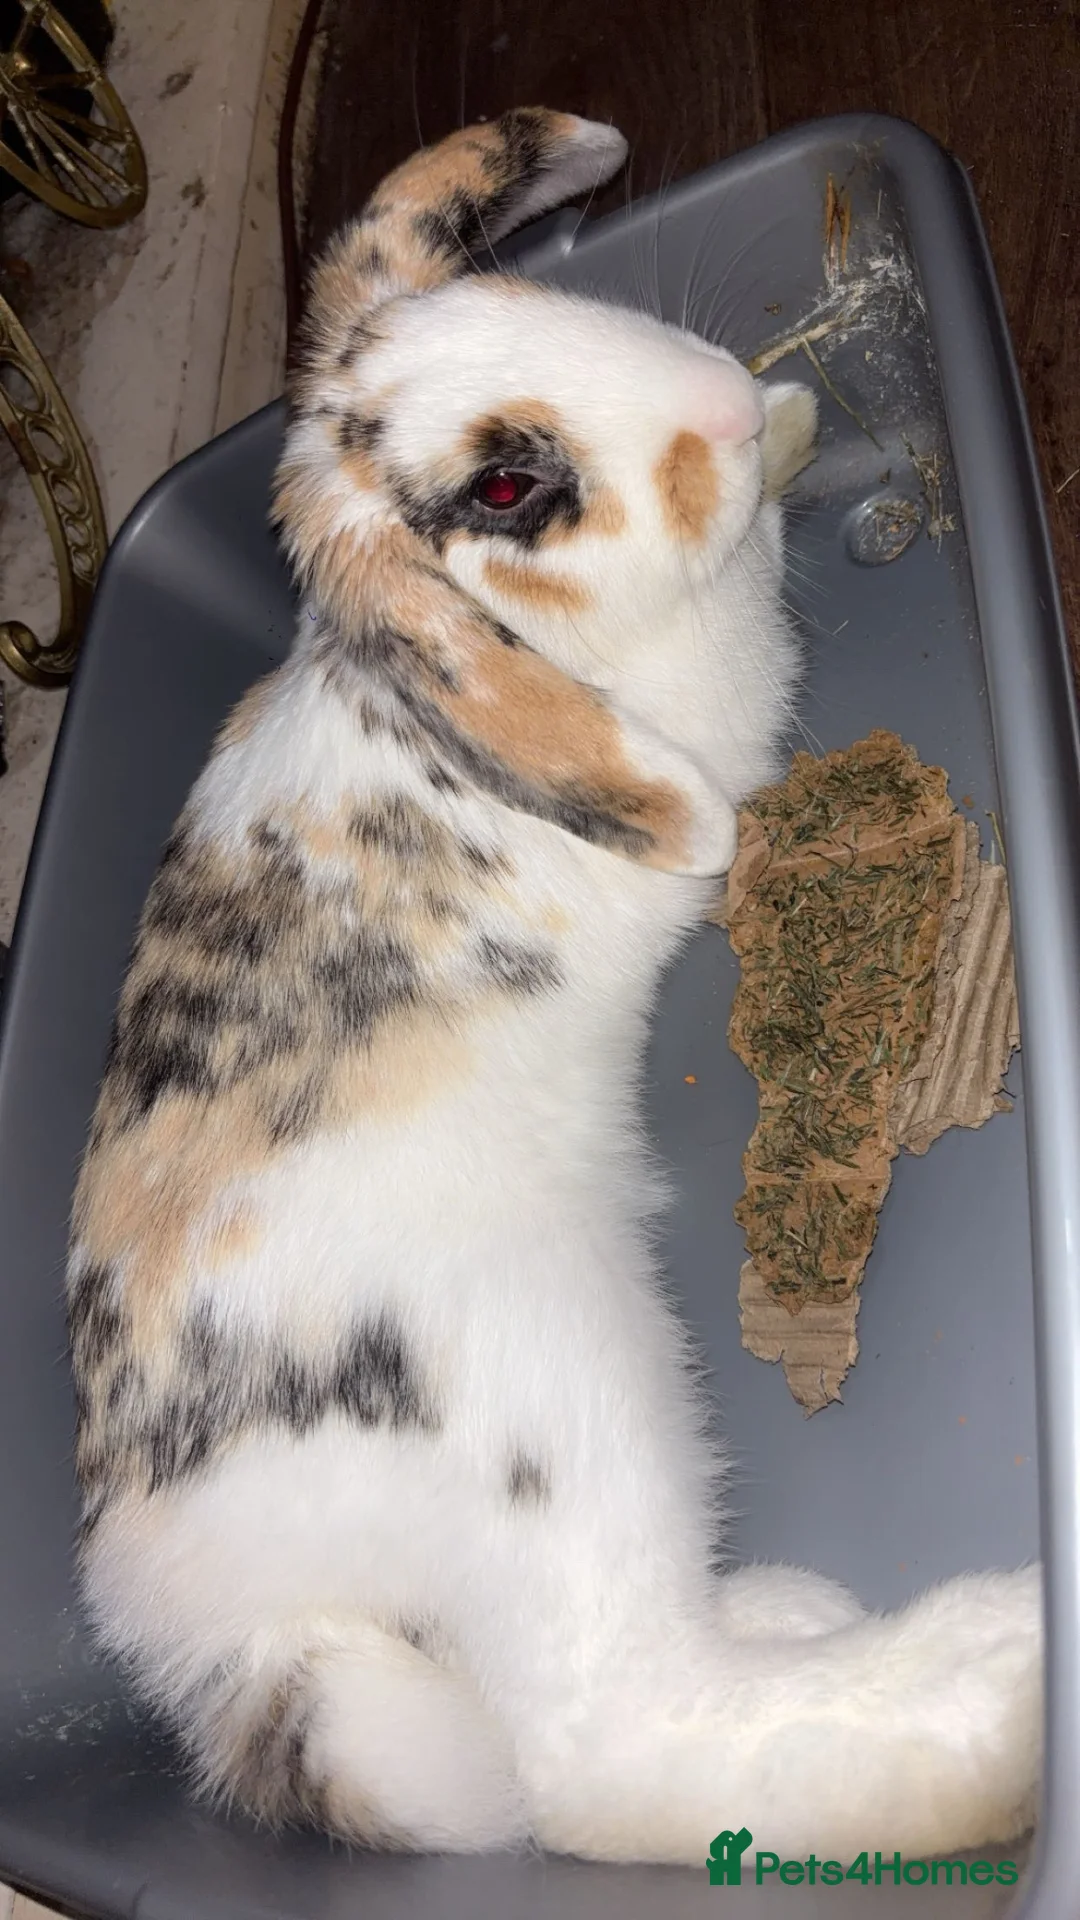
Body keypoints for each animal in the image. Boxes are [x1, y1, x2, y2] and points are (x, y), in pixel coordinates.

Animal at [67, 108, 1041, 1866]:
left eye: (520, 294)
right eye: (512, 487)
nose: (717, 402)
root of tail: (235, 1641)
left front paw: (795, 418)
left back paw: (797, 1609)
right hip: (577, 1424)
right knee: (615, 1747)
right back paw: (991, 1674)